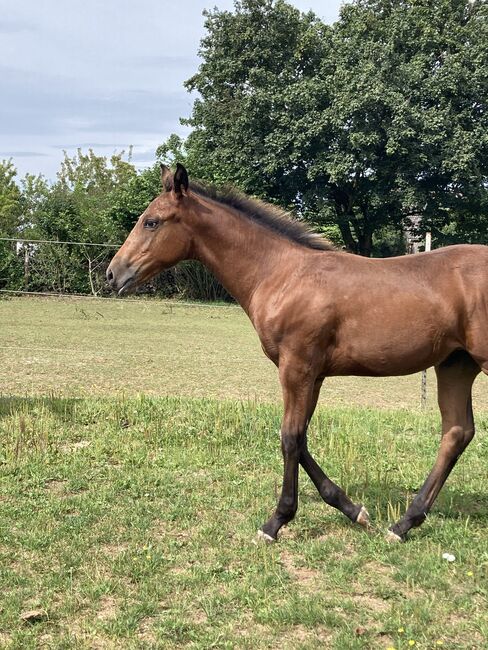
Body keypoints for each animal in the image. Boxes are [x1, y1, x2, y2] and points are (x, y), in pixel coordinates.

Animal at [107, 163, 488, 540]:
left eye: (151, 221)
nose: (113, 274)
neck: (280, 274)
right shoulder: (313, 375)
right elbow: (301, 436)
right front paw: (353, 510)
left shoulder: (296, 367)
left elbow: (289, 438)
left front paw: (275, 522)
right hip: (455, 365)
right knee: (457, 431)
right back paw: (404, 523)